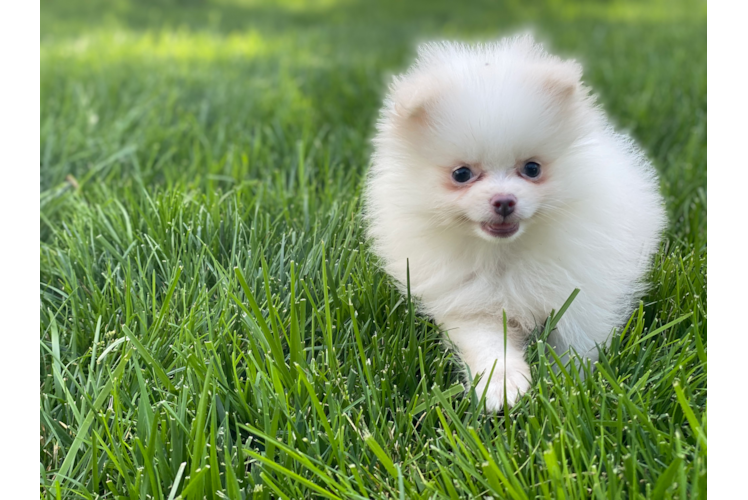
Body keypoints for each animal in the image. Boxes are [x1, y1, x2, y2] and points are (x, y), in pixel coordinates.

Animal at [366, 34, 664, 410]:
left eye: (532, 168)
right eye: (461, 174)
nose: (504, 200)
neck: (504, 255)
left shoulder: (582, 290)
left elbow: (575, 343)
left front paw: (569, 386)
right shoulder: (468, 300)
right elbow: (487, 341)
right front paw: (502, 385)